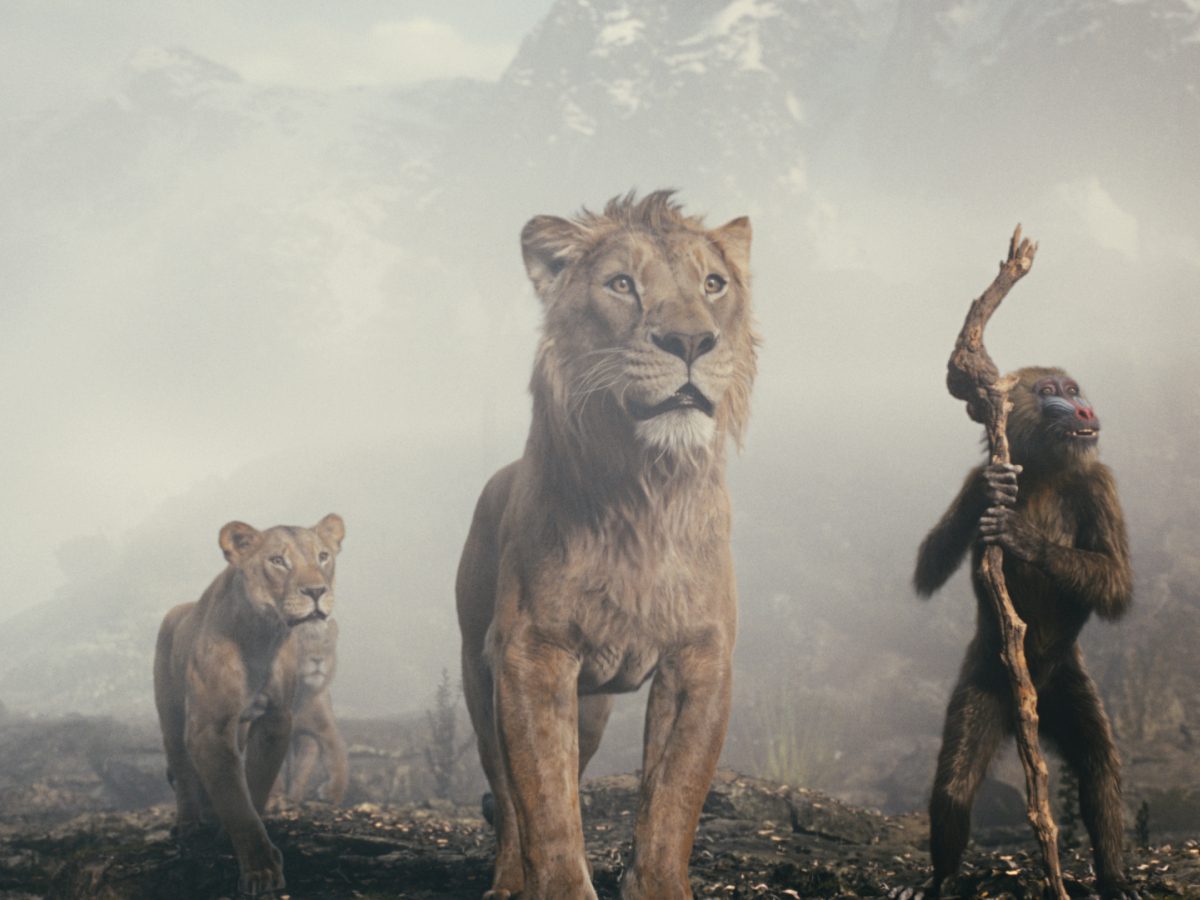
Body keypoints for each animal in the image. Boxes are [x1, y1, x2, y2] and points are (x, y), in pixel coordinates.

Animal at [278, 616, 349, 804]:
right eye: (300, 643)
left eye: (325, 642)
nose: (317, 659)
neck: (299, 695)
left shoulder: (320, 730)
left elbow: (336, 758)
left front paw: (332, 793)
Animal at [456, 191, 756, 900]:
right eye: (622, 285)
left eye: (714, 284)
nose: (690, 341)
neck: (646, 490)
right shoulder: (531, 654)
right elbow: (546, 806)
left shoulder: (701, 658)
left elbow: (673, 801)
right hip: (480, 675)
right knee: (507, 797)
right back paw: (507, 880)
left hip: (590, 708)